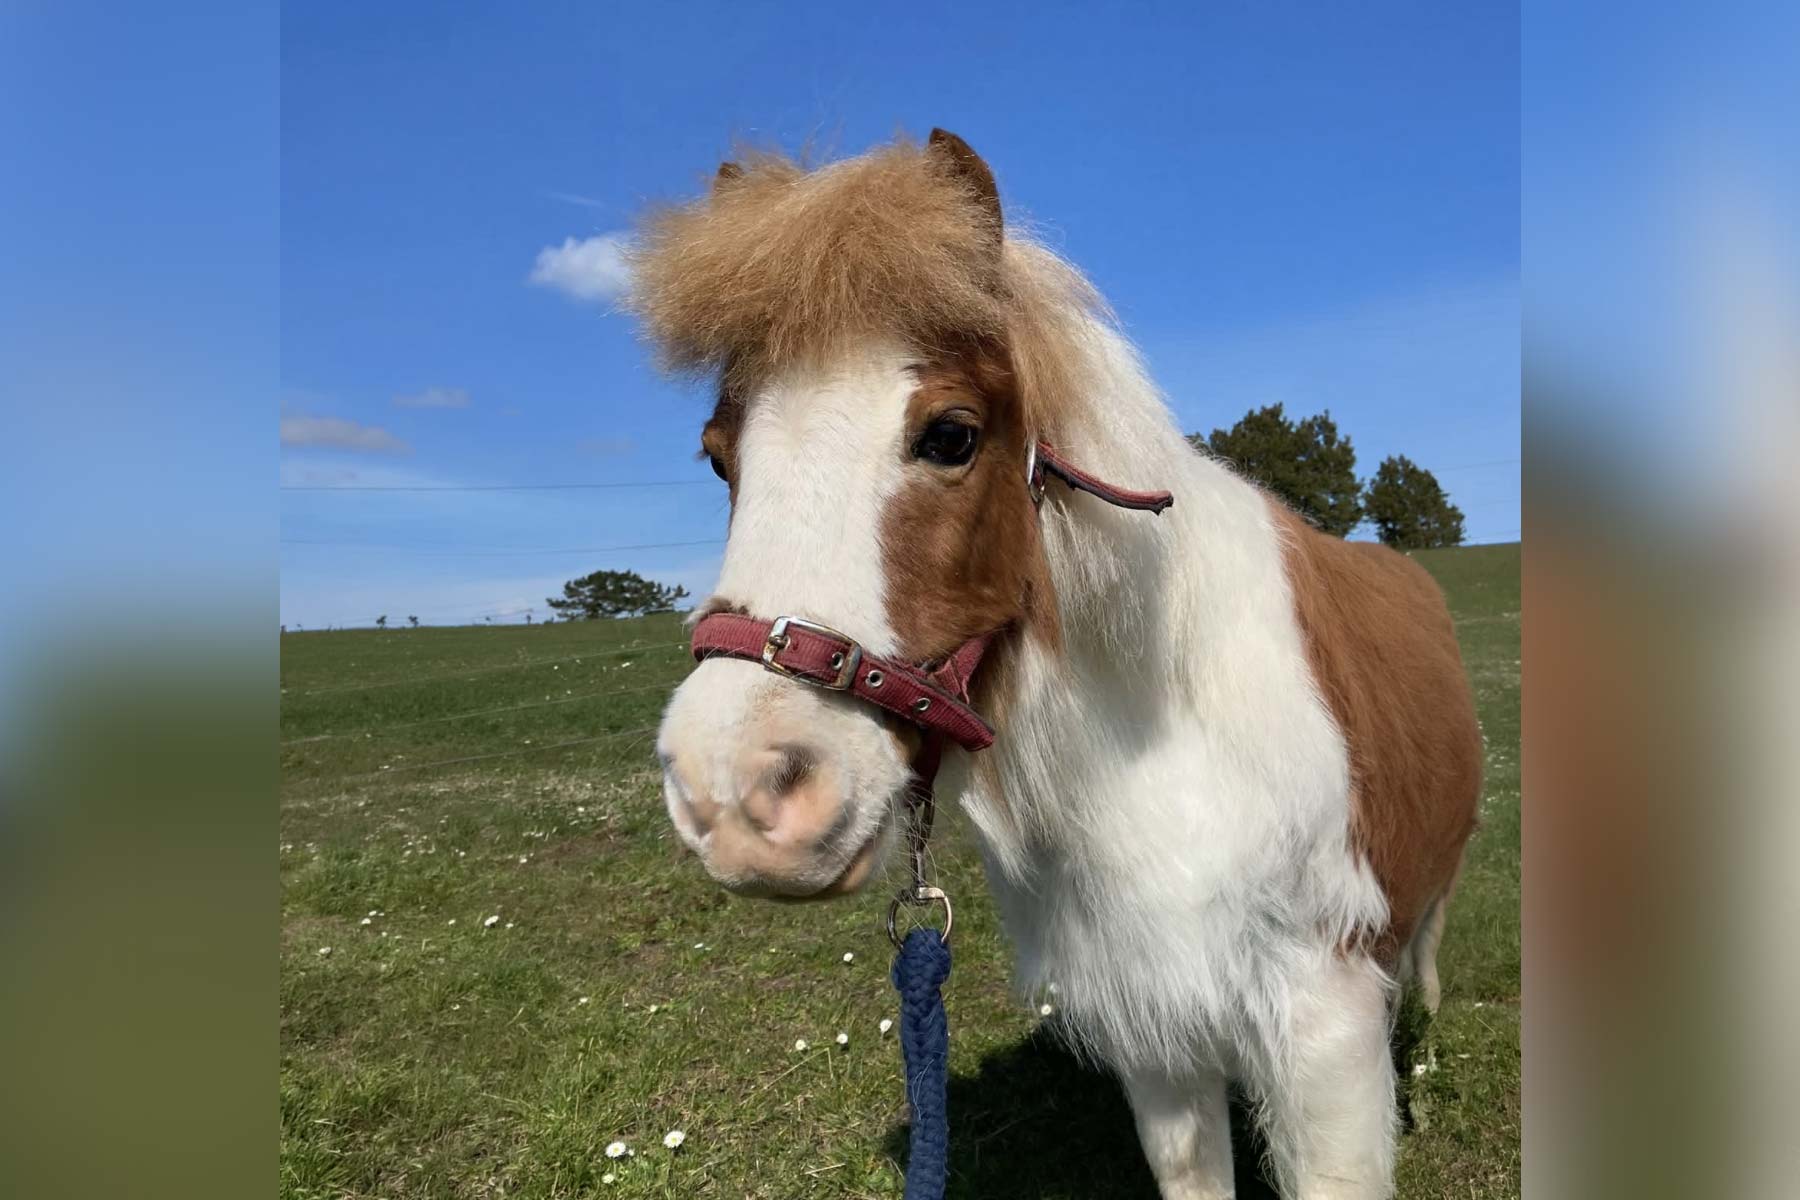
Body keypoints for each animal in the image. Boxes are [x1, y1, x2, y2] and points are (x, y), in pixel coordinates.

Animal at [634, 129, 1481, 1200]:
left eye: (951, 435)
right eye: (719, 457)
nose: (734, 794)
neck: (1166, 750)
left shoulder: (1326, 1038)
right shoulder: (1157, 1038)